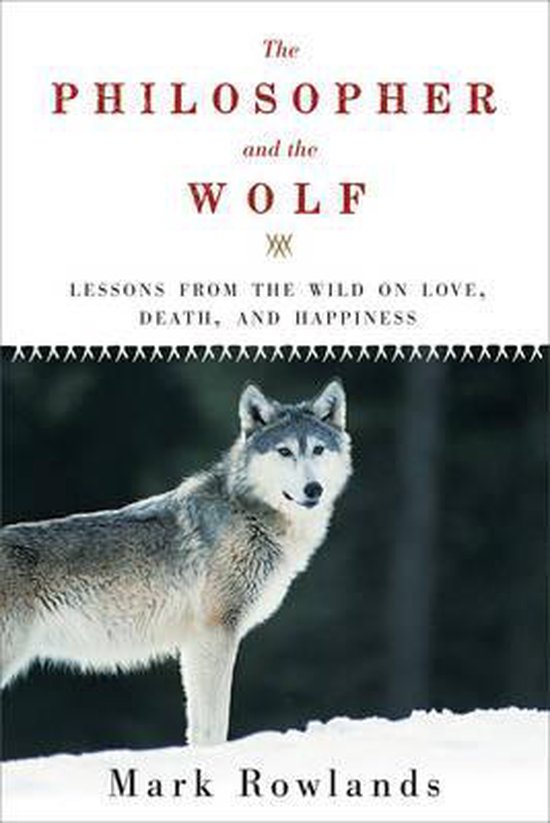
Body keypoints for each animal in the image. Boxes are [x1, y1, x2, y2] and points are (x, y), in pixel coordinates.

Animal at [0, 380, 352, 746]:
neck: (248, 514)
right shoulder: (216, 632)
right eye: (284, 452)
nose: (313, 489)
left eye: (318, 450)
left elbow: (199, 726)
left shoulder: (195, 643)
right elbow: (214, 725)